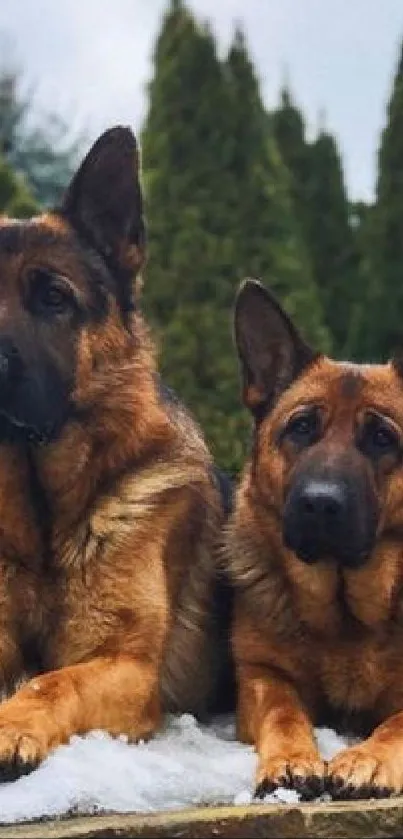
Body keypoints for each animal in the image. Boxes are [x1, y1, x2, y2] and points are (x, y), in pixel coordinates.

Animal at [229, 280, 403, 800]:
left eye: (382, 438)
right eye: (302, 426)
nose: (320, 504)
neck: (346, 619)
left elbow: (397, 723)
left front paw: (368, 758)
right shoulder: (262, 674)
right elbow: (282, 710)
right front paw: (290, 759)